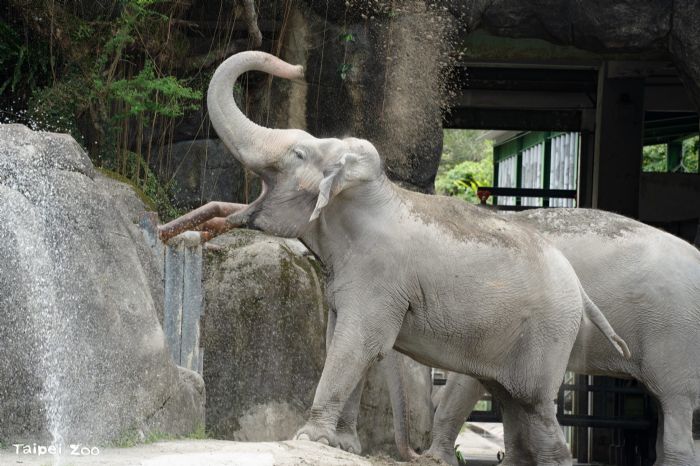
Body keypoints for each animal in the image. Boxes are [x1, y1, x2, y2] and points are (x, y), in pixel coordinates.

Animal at [158, 51, 630, 465]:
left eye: (298, 154)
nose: (297, 67)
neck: (369, 190)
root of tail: (581, 291)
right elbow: (338, 337)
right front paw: (343, 445)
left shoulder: (379, 276)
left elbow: (355, 342)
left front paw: (308, 438)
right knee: (512, 404)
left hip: (547, 334)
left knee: (533, 408)